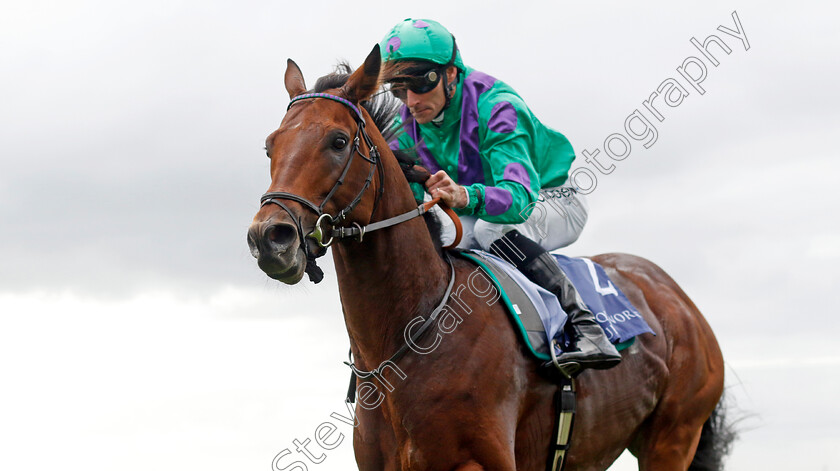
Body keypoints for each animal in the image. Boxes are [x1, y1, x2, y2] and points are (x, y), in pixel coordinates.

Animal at [246, 45, 732, 471]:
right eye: (270, 145)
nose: (269, 238)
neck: (412, 332)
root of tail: (675, 296)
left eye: (339, 140)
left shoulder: (479, 461)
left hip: (672, 437)